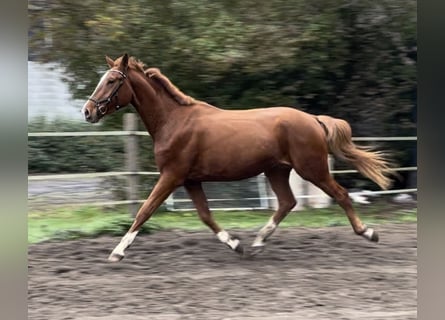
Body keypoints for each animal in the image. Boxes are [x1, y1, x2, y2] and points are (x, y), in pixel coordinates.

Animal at [81, 53, 390, 262]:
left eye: (111, 81)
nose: (87, 111)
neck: (174, 121)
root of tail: (313, 119)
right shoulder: (190, 180)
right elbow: (205, 216)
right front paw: (236, 244)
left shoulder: (171, 176)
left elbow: (144, 211)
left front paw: (117, 252)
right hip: (277, 170)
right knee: (287, 202)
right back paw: (257, 243)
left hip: (311, 169)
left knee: (340, 194)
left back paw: (368, 233)